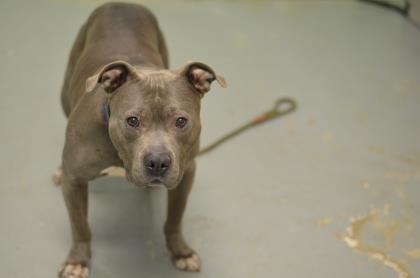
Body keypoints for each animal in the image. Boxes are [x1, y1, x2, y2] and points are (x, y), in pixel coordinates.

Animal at [55, 2, 228, 278]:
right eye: (132, 120)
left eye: (181, 121)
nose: (157, 162)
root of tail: (121, 4)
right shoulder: (75, 181)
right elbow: (80, 225)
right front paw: (77, 261)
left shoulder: (186, 173)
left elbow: (175, 218)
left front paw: (181, 252)